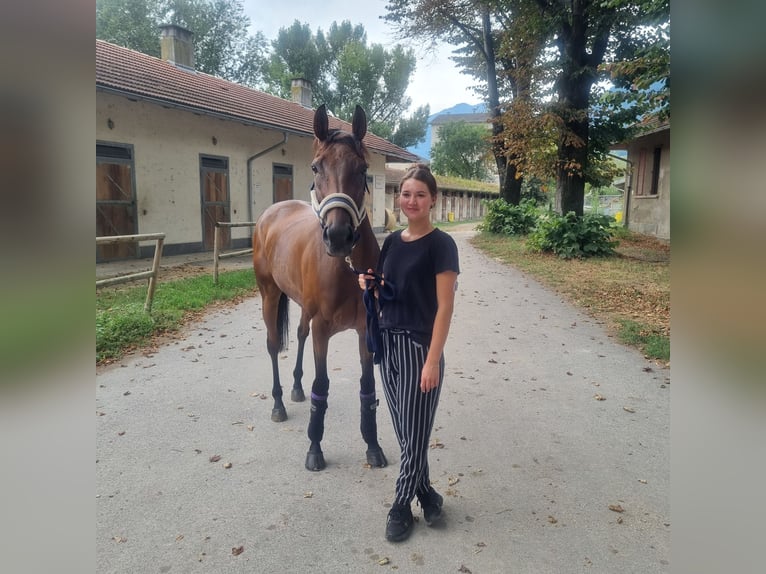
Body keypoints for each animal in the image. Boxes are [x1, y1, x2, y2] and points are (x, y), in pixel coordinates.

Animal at [254, 103, 390, 472]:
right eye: (316, 166)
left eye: (362, 168)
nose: (339, 236)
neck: (347, 269)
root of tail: (272, 212)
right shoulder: (323, 329)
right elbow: (323, 385)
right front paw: (314, 447)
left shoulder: (364, 330)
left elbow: (368, 387)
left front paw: (373, 445)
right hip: (269, 295)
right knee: (273, 345)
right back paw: (278, 404)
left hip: (303, 306)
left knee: (299, 334)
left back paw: (295, 388)